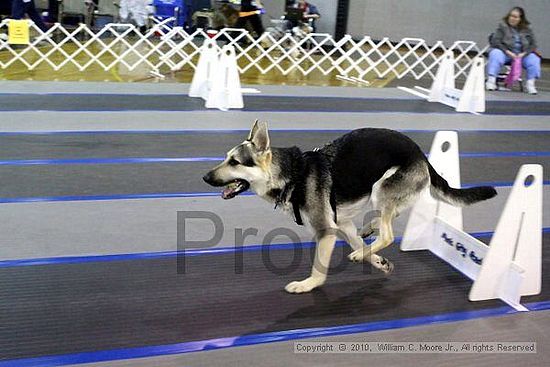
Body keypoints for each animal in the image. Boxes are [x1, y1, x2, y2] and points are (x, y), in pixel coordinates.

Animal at [204, 122, 500, 294]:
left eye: (234, 162)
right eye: (225, 159)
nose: (205, 177)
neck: (292, 176)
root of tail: (422, 155)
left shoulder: (326, 232)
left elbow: (319, 269)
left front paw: (308, 285)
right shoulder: (342, 225)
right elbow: (358, 242)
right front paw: (377, 261)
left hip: (381, 188)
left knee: (388, 233)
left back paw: (367, 243)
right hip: (383, 195)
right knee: (390, 217)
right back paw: (370, 231)